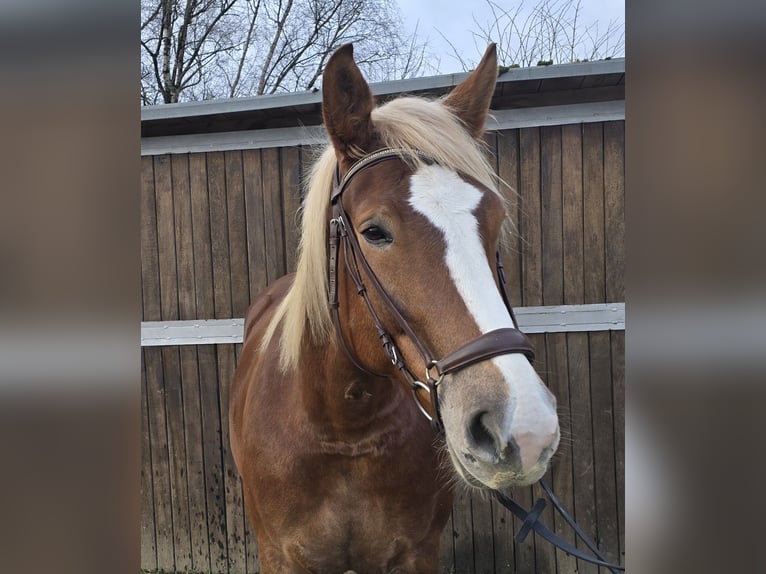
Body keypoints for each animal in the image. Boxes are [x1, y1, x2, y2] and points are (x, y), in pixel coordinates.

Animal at [231, 42, 560, 572]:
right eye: (374, 231)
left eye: (495, 222)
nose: (526, 428)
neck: (344, 429)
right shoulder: (281, 556)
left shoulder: (416, 552)